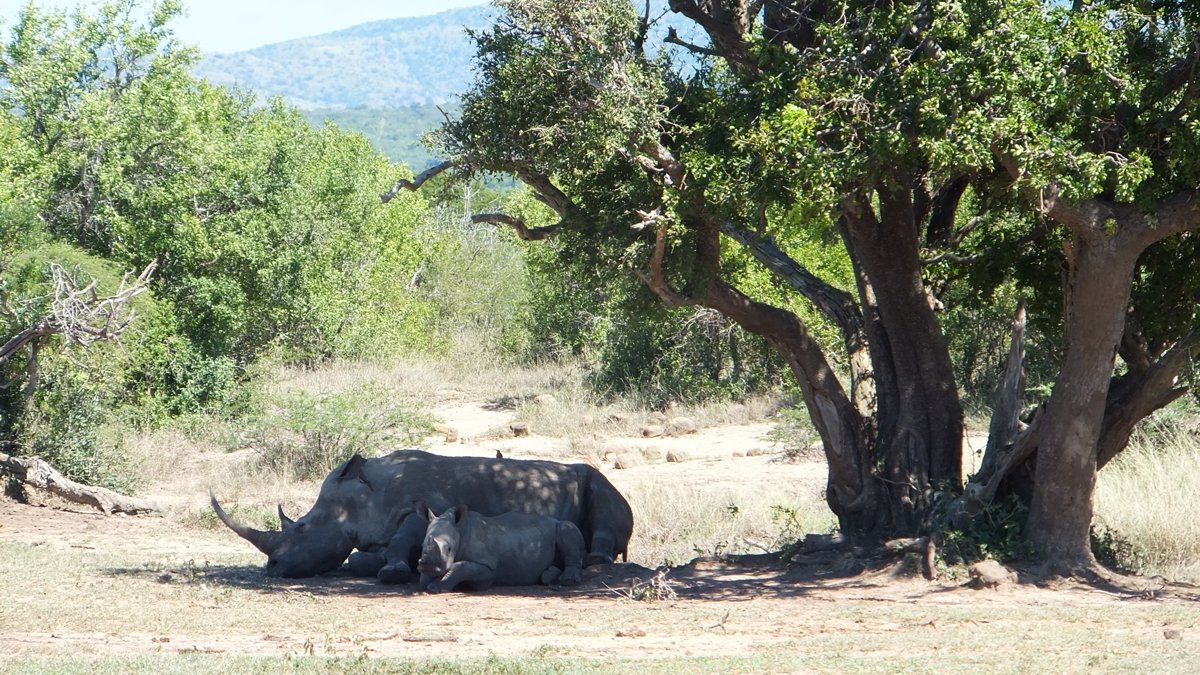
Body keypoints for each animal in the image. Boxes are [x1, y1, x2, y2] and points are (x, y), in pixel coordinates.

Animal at [211, 449, 632, 579]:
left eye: (300, 527)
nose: (272, 568)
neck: (363, 497)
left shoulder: (418, 506)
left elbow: (404, 536)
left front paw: (394, 572)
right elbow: (360, 558)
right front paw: (375, 564)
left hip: (600, 481)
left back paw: (595, 559)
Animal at [415, 502, 585, 592]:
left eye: (449, 548)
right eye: (422, 546)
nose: (428, 566)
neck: (460, 529)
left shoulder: (488, 569)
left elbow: (461, 567)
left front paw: (435, 588)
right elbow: (424, 580)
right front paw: (430, 582)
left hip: (561, 525)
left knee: (567, 528)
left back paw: (568, 581)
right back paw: (548, 576)